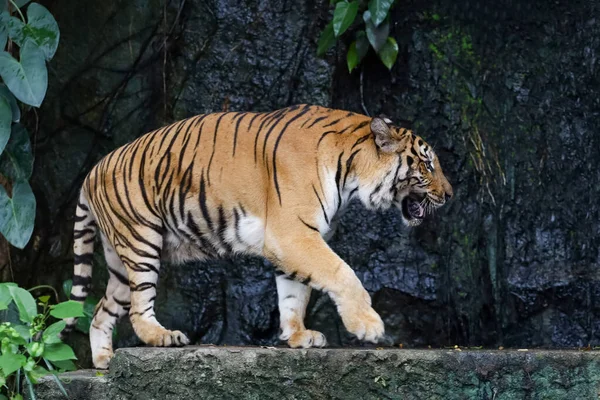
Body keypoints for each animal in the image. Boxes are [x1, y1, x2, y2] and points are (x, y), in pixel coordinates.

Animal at [62, 104, 454, 368]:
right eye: (427, 164)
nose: (450, 195)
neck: (350, 173)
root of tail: (93, 169)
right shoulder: (293, 234)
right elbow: (342, 273)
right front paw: (368, 326)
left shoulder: (293, 240)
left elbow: (294, 294)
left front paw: (298, 336)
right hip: (143, 242)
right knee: (138, 310)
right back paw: (162, 337)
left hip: (119, 261)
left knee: (100, 311)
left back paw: (103, 361)